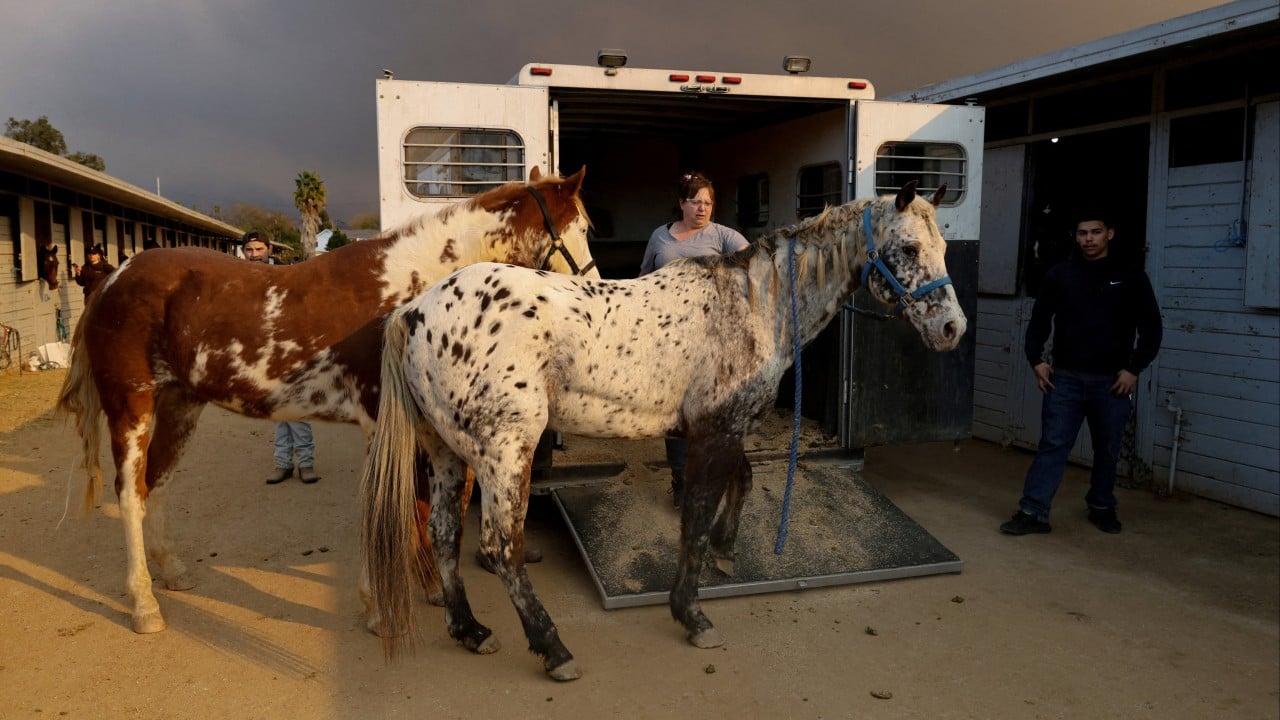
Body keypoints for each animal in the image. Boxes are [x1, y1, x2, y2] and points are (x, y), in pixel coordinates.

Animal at [55, 167, 598, 635]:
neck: (407, 293)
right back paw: (144, 605)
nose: (594, 285)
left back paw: (173, 572)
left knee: (157, 483)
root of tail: (113, 280)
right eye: (583, 226)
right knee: (130, 493)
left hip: (180, 404)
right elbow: (392, 507)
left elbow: (418, 505)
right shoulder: (383, 423)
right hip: (131, 407)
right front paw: (379, 608)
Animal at [361, 181, 966, 680]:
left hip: (445, 451)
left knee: (445, 534)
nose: (952, 329)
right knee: (501, 546)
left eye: (943, 248)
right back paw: (553, 649)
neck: (753, 306)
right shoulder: (713, 432)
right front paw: (692, 615)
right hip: (505, 454)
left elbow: (740, 485)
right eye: (909, 249)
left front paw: (726, 550)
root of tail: (416, 311)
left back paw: (469, 630)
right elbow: (694, 518)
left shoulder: (721, 427)